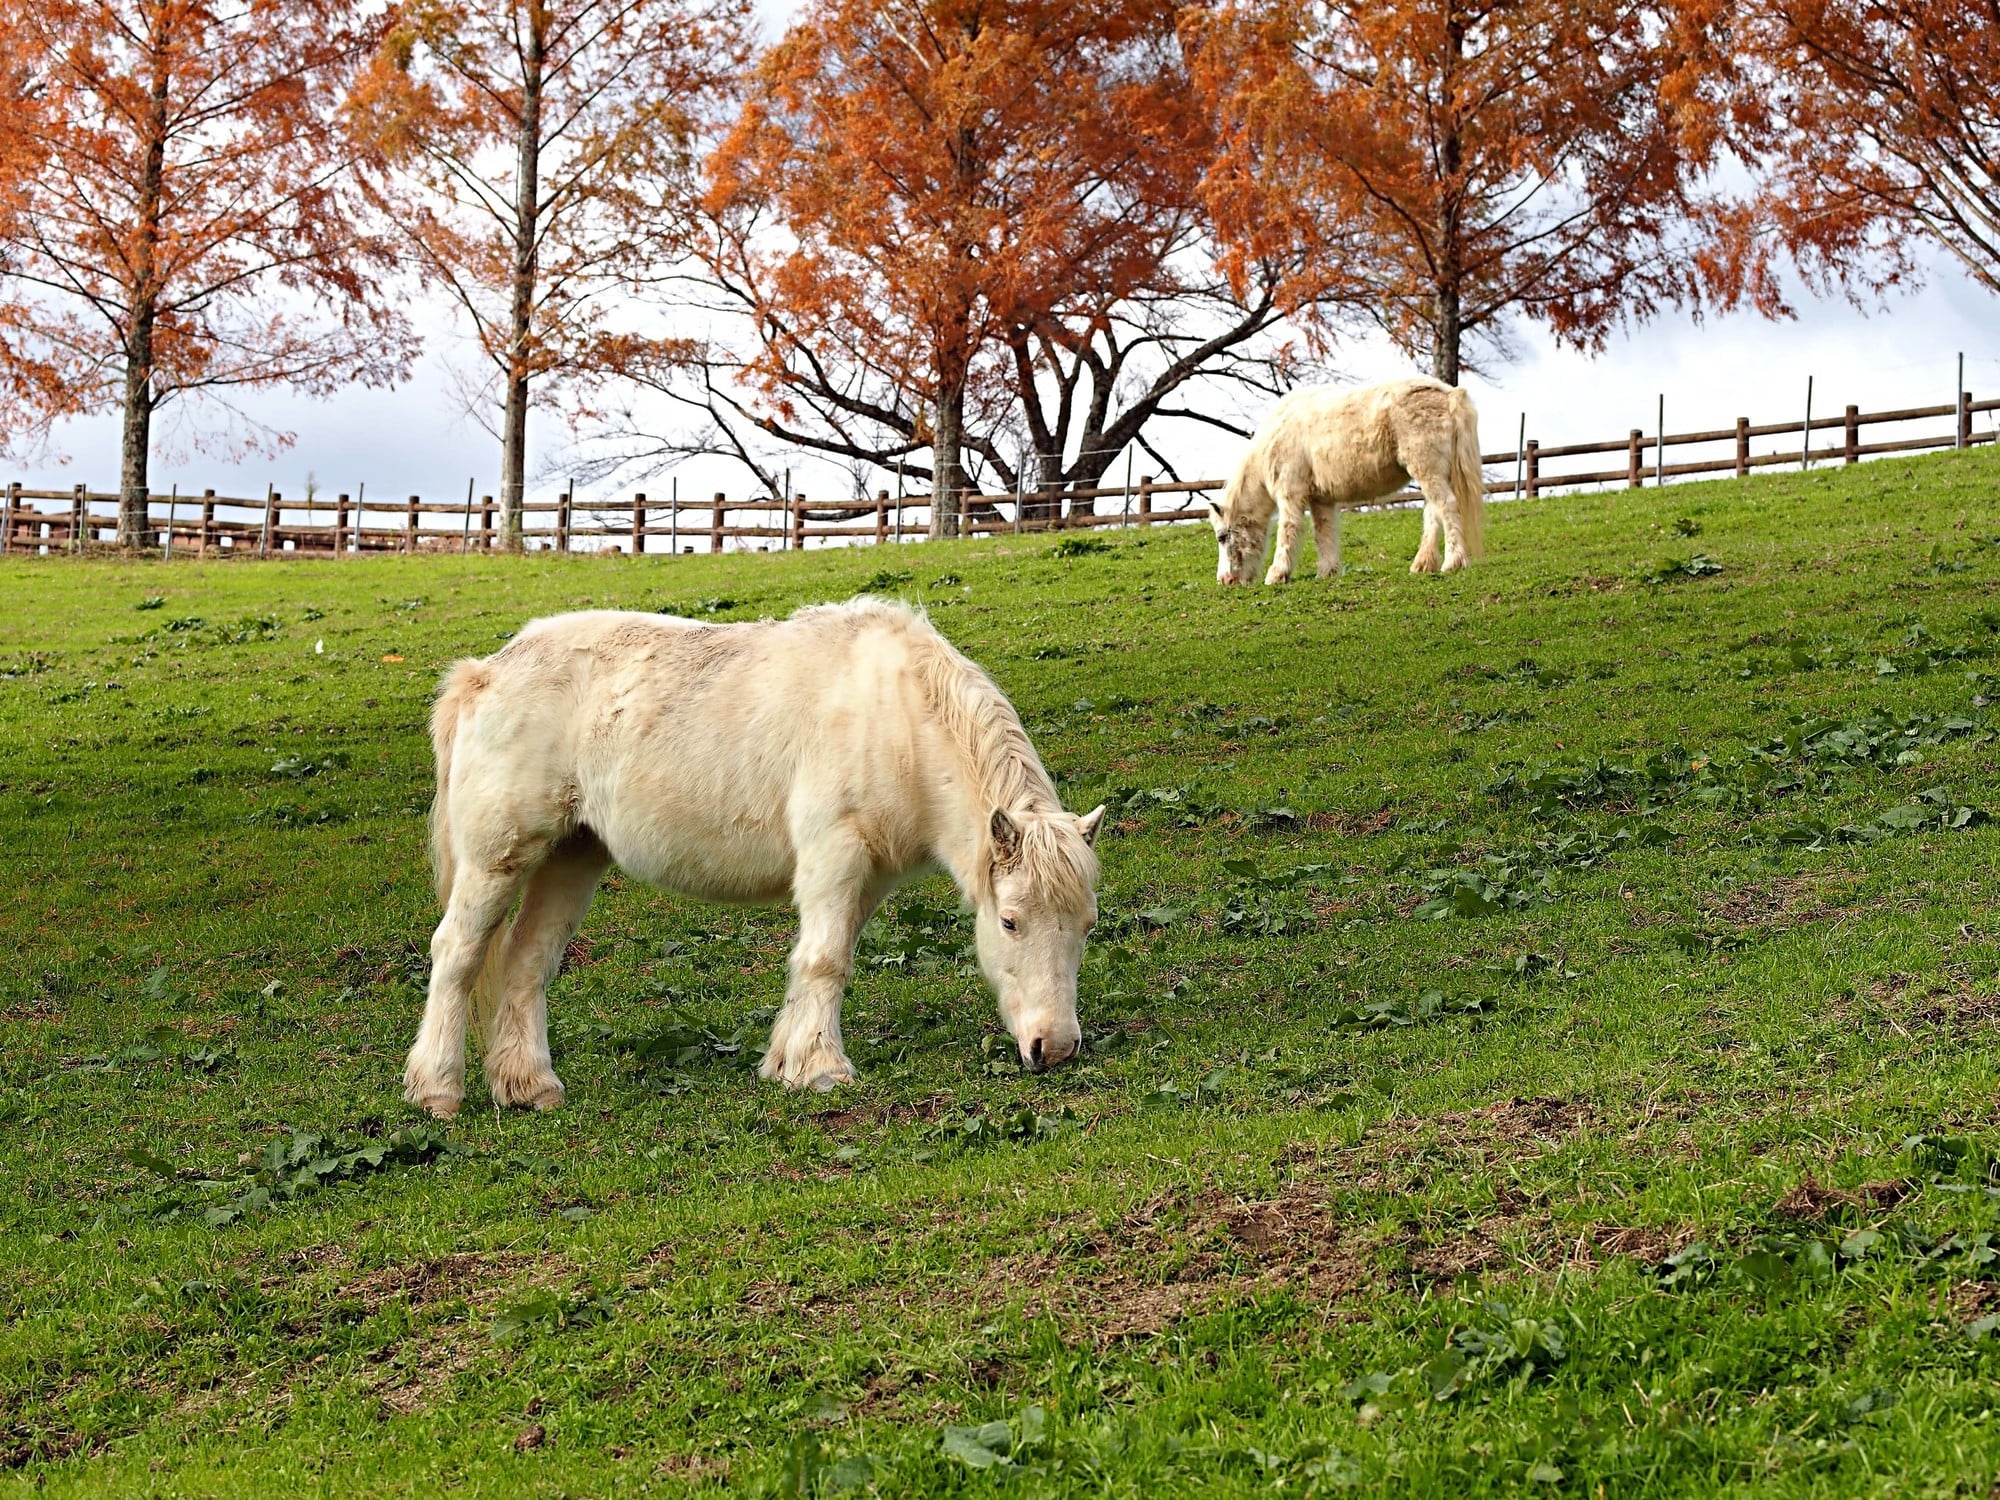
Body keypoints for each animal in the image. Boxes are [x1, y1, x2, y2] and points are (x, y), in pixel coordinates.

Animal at [398, 596, 1104, 1120]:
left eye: (1086, 926)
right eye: (1009, 921)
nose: (1054, 1048)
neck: (897, 715)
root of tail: (484, 672)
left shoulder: (867, 877)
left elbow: (824, 958)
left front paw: (788, 1062)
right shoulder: (834, 855)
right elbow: (825, 960)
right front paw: (823, 1071)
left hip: (570, 858)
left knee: (527, 963)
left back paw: (529, 1088)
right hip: (498, 861)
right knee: (457, 955)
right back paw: (438, 1091)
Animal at [1200, 378, 1488, 584]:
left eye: (1222, 537)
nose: (1225, 580)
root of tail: (1449, 393)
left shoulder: (1290, 495)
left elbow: (1288, 531)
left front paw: (1277, 574)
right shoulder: (1321, 500)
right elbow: (1324, 533)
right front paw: (1327, 571)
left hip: (1428, 470)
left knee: (1447, 507)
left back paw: (1453, 562)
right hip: (1430, 473)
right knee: (1432, 514)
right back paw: (1423, 565)